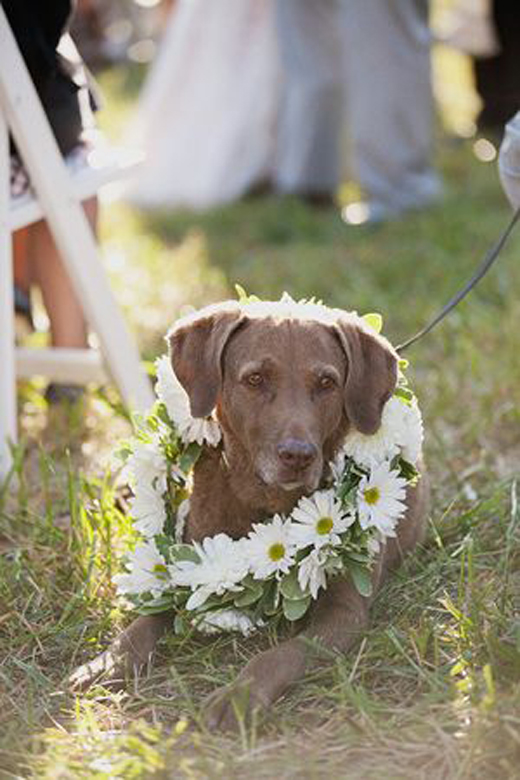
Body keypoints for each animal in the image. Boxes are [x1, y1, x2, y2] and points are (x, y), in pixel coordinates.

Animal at [68, 300, 426, 732]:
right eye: (255, 379)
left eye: (327, 383)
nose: (298, 455)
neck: (264, 502)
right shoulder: (189, 567)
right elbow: (144, 620)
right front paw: (109, 660)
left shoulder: (343, 612)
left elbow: (280, 654)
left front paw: (238, 696)